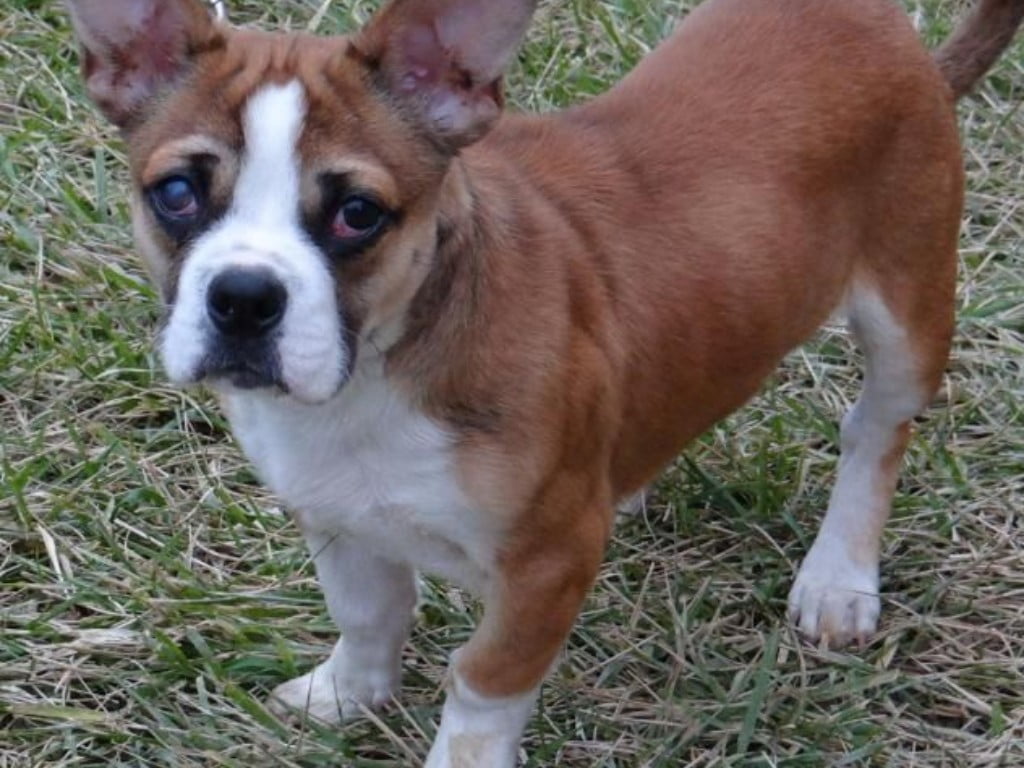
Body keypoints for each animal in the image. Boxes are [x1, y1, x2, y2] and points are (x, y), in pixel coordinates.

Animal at [66, 0, 1024, 765]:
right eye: (177, 193)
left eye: (358, 215)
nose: (243, 296)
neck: (378, 371)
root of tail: (895, 36)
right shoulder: (335, 514)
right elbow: (368, 613)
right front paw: (350, 693)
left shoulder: (545, 567)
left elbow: (482, 686)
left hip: (907, 312)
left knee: (875, 431)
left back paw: (838, 575)